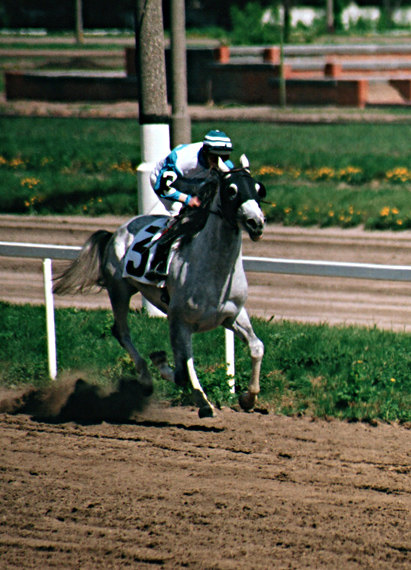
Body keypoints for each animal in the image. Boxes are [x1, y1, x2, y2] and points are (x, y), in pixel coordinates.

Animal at [54, 155, 268, 418]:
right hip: (119, 290)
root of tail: (116, 232)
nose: (256, 222)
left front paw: (248, 398)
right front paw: (200, 400)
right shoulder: (179, 321)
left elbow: (257, 347)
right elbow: (183, 372)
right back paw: (146, 380)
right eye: (231, 190)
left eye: (259, 189)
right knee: (121, 331)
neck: (214, 270)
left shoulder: (233, 315)